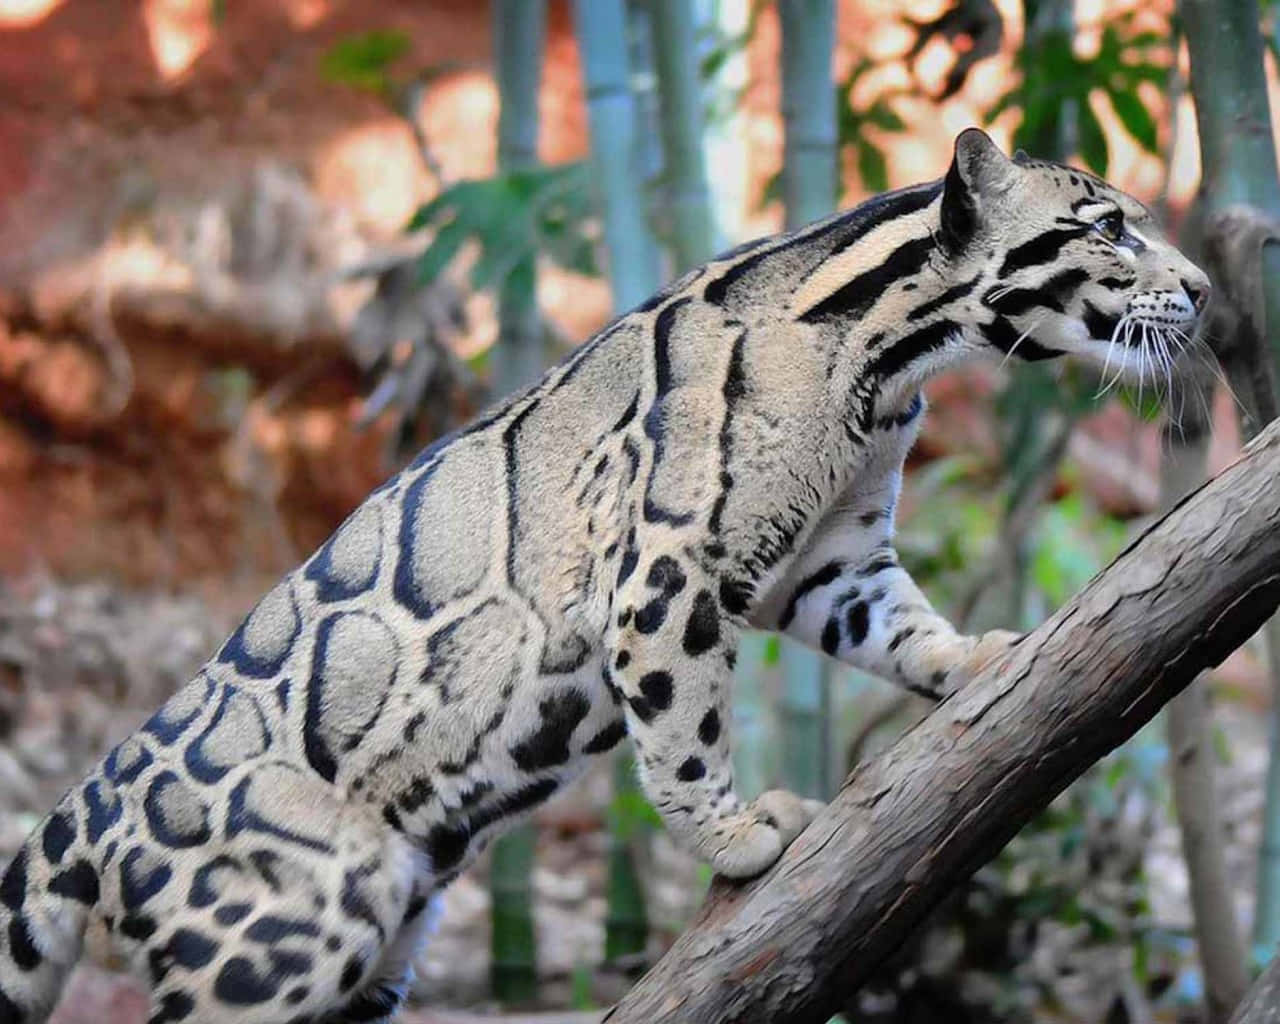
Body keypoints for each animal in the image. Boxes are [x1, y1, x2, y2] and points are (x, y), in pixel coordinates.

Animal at [0, 129, 1203, 1024]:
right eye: (1108, 226)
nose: (1196, 285)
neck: (885, 365)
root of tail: (84, 804)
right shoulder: (662, 567)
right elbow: (681, 733)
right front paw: (730, 833)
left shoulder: (830, 557)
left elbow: (893, 620)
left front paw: (971, 659)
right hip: (279, 943)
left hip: (379, 949)